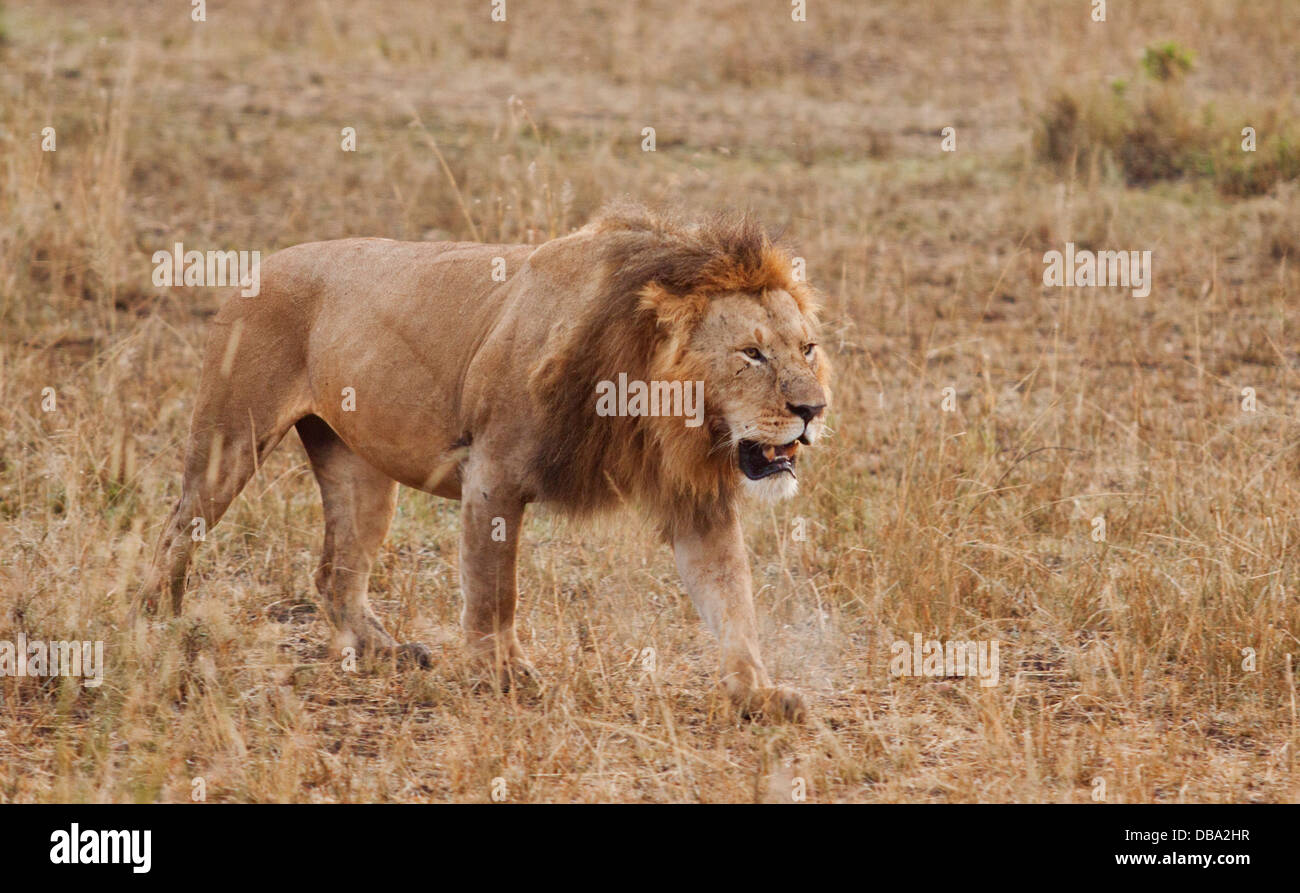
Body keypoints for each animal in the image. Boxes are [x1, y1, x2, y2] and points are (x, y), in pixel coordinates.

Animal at [139, 201, 832, 717]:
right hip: (231, 438)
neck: (652, 405)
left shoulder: (695, 500)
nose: (813, 409)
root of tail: (263, 265)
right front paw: (502, 674)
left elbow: (731, 597)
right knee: (176, 529)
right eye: (750, 354)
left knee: (335, 572)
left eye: (807, 347)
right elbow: (498, 588)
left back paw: (384, 650)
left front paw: (758, 693)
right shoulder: (492, 475)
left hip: (359, 468)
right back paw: (160, 625)